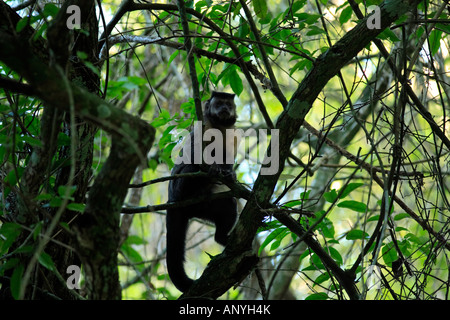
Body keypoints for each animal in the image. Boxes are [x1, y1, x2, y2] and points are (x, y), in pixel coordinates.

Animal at [167, 91, 239, 294]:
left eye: (228, 104)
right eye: (219, 103)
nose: (224, 108)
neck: (220, 126)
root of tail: (172, 200)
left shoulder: (234, 134)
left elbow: (228, 159)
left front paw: (230, 174)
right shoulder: (203, 126)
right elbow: (194, 152)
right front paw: (213, 168)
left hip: (203, 207)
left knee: (229, 206)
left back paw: (221, 238)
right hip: (179, 187)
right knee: (192, 166)